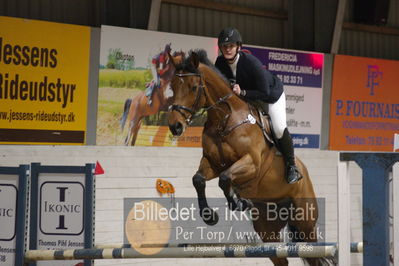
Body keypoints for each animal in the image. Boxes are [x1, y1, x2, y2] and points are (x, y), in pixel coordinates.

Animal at [166, 50, 334, 266]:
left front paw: (239, 202)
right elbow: (199, 180)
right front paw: (209, 216)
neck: (225, 118)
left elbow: (225, 179)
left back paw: (292, 173)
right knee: (281, 259)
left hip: (305, 220)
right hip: (267, 228)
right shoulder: (213, 163)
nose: (175, 126)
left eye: (193, 87)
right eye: (172, 86)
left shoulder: (251, 163)